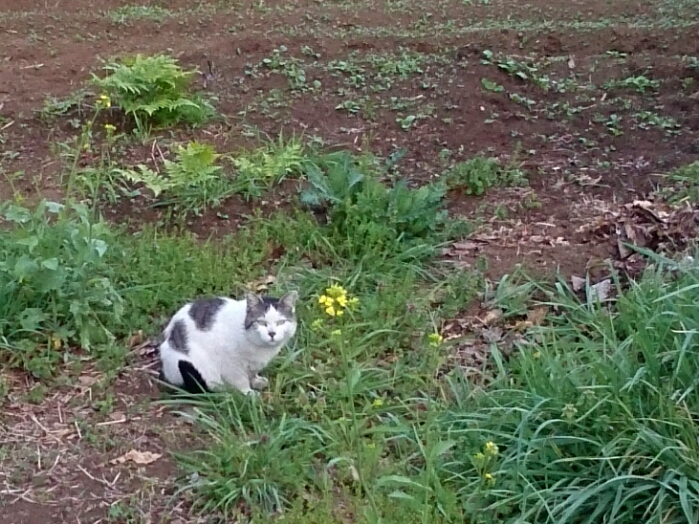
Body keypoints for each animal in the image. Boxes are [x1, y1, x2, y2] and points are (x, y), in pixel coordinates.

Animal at [157, 288, 300, 396]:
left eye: (281, 322)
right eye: (261, 322)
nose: (272, 333)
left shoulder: (252, 363)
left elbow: (252, 373)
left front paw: (256, 381)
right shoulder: (231, 363)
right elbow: (241, 380)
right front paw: (248, 393)